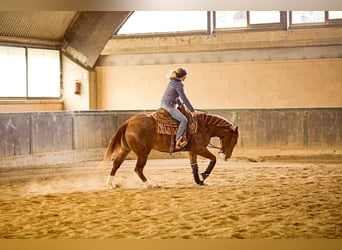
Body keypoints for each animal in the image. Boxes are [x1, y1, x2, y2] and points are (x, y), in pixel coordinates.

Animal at [99, 111, 238, 188]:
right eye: (234, 140)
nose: (227, 156)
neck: (203, 127)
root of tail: (128, 122)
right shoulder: (200, 148)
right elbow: (213, 159)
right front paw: (204, 175)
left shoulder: (192, 151)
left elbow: (194, 166)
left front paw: (200, 181)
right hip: (143, 153)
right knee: (138, 169)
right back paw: (151, 185)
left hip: (125, 149)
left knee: (116, 164)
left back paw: (110, 184)